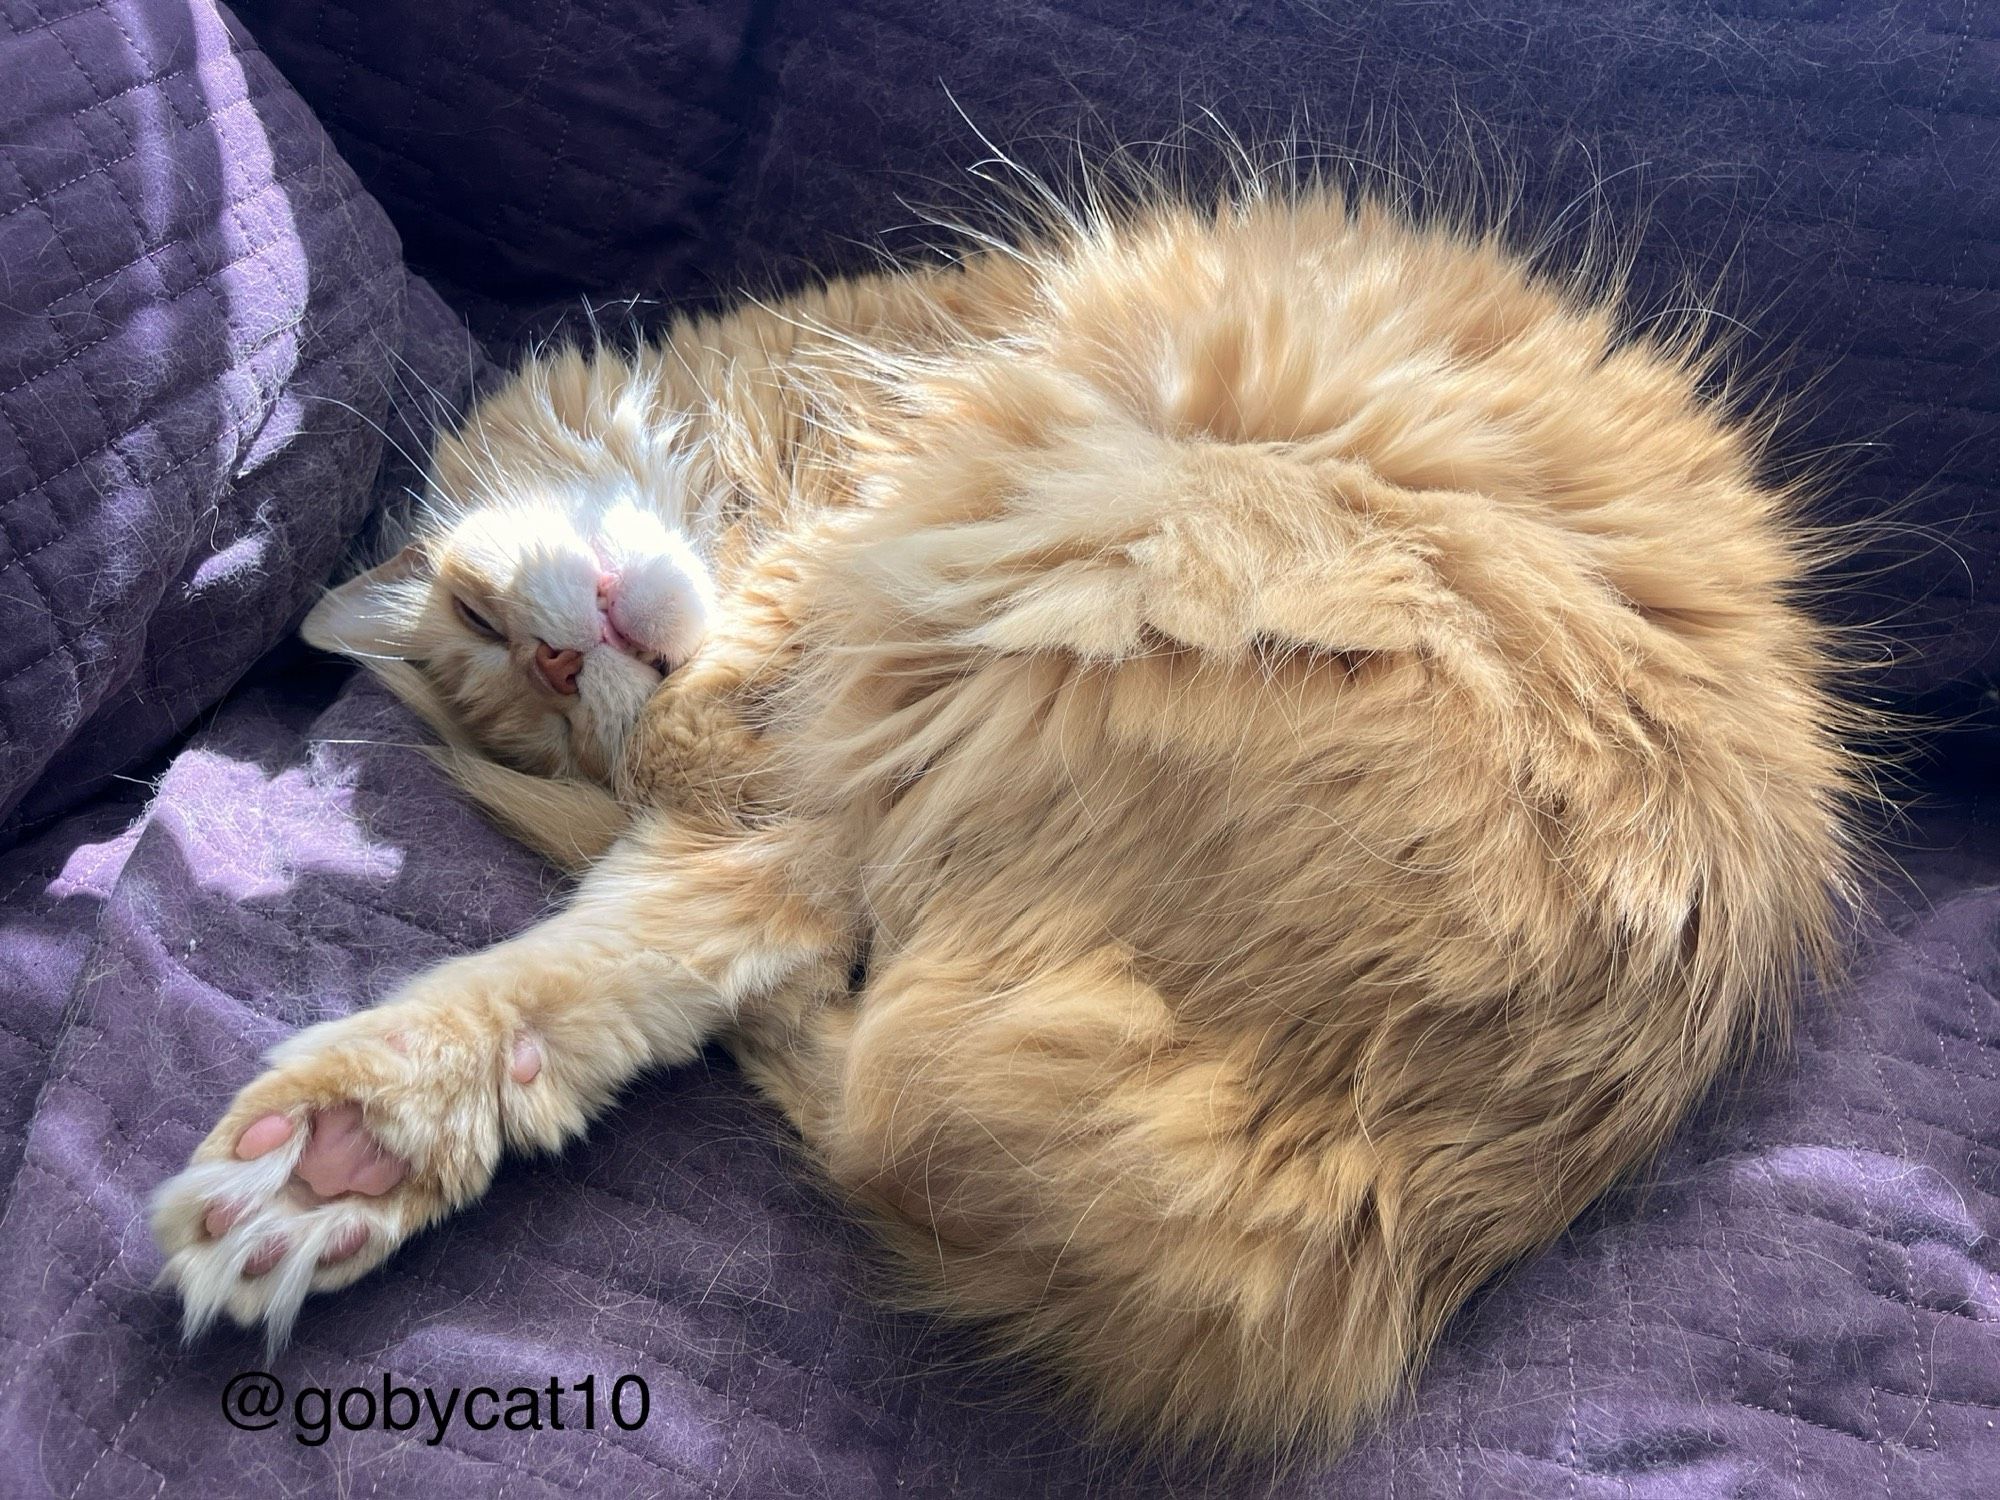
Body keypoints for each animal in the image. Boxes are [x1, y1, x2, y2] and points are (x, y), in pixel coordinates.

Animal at [148, 185, 1864, 1456]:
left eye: (485, 623)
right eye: (529, 695)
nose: (581, 671)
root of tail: (1370, 1212)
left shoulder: (877, 493)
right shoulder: (790, 779)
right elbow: (593, 966)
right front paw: (341, 1163)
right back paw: (333, 1168)